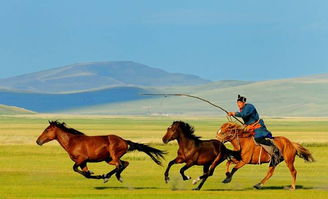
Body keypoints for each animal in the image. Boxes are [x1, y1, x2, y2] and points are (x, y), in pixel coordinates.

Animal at [36, 120, 165, 183]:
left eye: (47, 130)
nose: (38, 141)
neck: (72, 141)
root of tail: (124, 141)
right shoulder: (83, 162)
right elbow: (85, 173)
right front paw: (93, 174)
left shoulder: (81, 159)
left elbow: (75, 168)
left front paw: (98, 175)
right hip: (109, 159)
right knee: (125, 163)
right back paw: (116, 177)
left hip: (113, 156)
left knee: (119, 165)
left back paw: (107, 177)